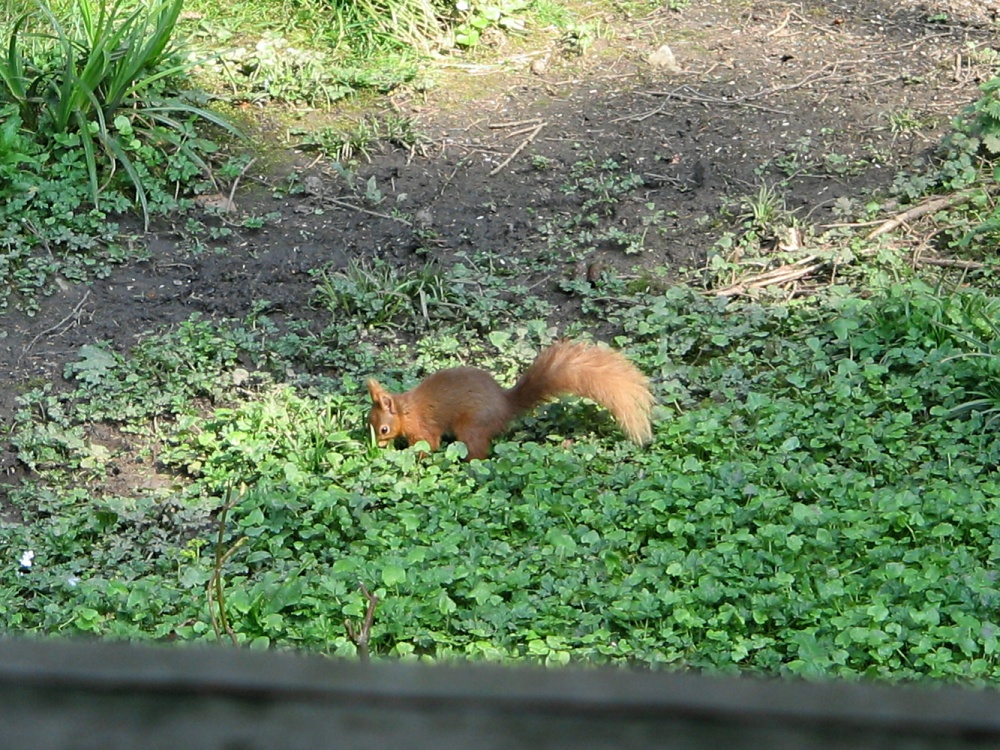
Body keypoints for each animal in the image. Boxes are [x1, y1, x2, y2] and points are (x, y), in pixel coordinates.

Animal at [366, 341, 654, 460]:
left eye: (384, 429)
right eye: (368, 423)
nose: (377, 446)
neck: (406, 410)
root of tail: (506, 405)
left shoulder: (423, 428)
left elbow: (428, 445)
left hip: (471, 427)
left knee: (479, 452)